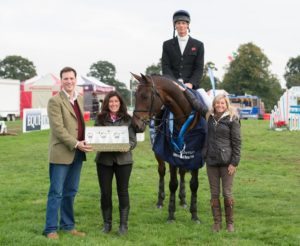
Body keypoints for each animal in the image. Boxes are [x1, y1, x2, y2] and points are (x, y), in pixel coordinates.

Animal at [131, 73, 206, 223]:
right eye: (135, 95)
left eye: (145, 96)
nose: (136, 125)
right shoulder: (171, 156)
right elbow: (172, 183)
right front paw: (171, 214)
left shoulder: (195, 157)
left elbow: (194, 184)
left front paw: (194, 215)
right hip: (159, 154)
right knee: (162, 171)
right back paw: (160, 201)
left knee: (182, 172)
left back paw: (183, 200)